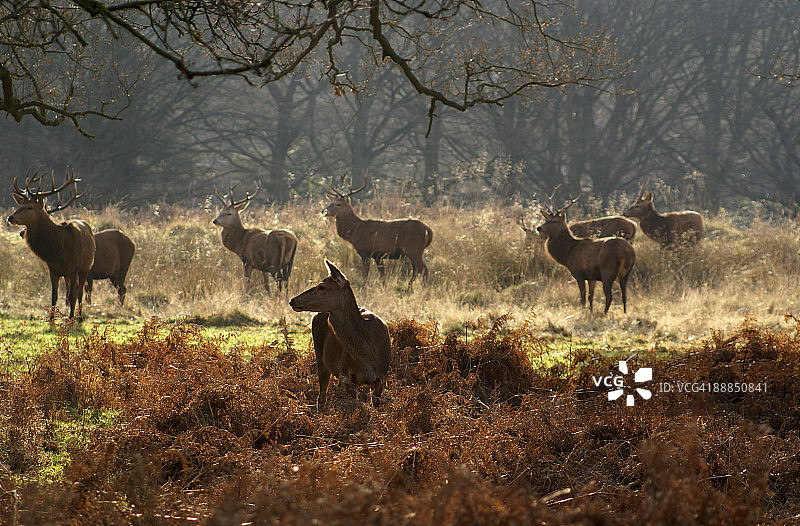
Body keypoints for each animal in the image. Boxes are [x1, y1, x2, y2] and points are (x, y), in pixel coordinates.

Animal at [7, 169, 96, 320]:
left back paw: (79, 317)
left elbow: (72, 295)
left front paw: (70, 319)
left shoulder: (74, 268)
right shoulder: (53, 269)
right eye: (20, 205)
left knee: (79, 292)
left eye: (30, 207)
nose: (10, 217)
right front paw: (51, 319)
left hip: (85, 267)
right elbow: (54, 296)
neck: (59, 251)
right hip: (68, 274)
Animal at [289, 259, 391, 409]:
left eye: (321, 287)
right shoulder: (348, 376)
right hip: (320, 356)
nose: (292, 300)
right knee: (322, 395)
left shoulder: (382, 377)